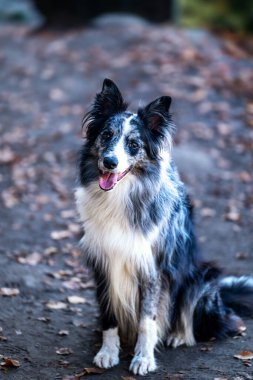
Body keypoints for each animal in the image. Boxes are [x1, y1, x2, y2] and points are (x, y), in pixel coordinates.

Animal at [76, 78, 253, 376]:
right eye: (107, 135)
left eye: (133, 144)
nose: (110, 162)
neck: (121, 196)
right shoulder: (103, 262)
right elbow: (109, 317)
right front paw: (108, 352)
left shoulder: (153, 268)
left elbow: (147, 321)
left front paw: (143, 358)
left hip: (201, 277)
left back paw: (179, 335)